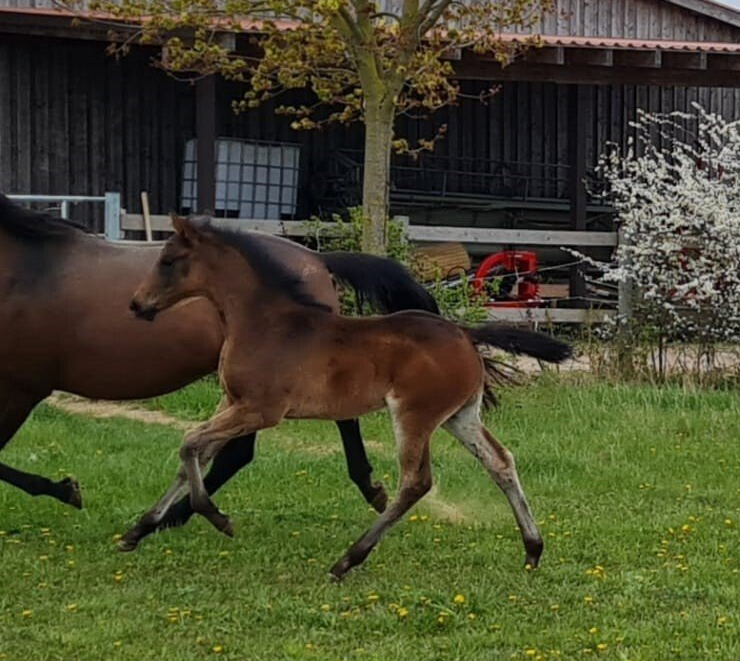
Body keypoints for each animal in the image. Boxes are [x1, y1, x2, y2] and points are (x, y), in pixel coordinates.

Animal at [0, 194, 439, 544]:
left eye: (169, 261)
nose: (137, 305)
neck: (23, 272)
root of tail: (317, 257)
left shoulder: (22, 388)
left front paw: (67, 490)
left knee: (256, 446)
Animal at [127, 216, 572, 579]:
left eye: (168, 260)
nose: (136, 304)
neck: (265, 323)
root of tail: (466, 333)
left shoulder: (260, 410)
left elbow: (190, 444)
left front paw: (216, 518)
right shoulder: (231, 402)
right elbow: (195, 454)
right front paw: (139, 528)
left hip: (414, 415)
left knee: (416, 482)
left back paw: (347, 560)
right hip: (458, 416)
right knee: (500, 462)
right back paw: (533, 549)